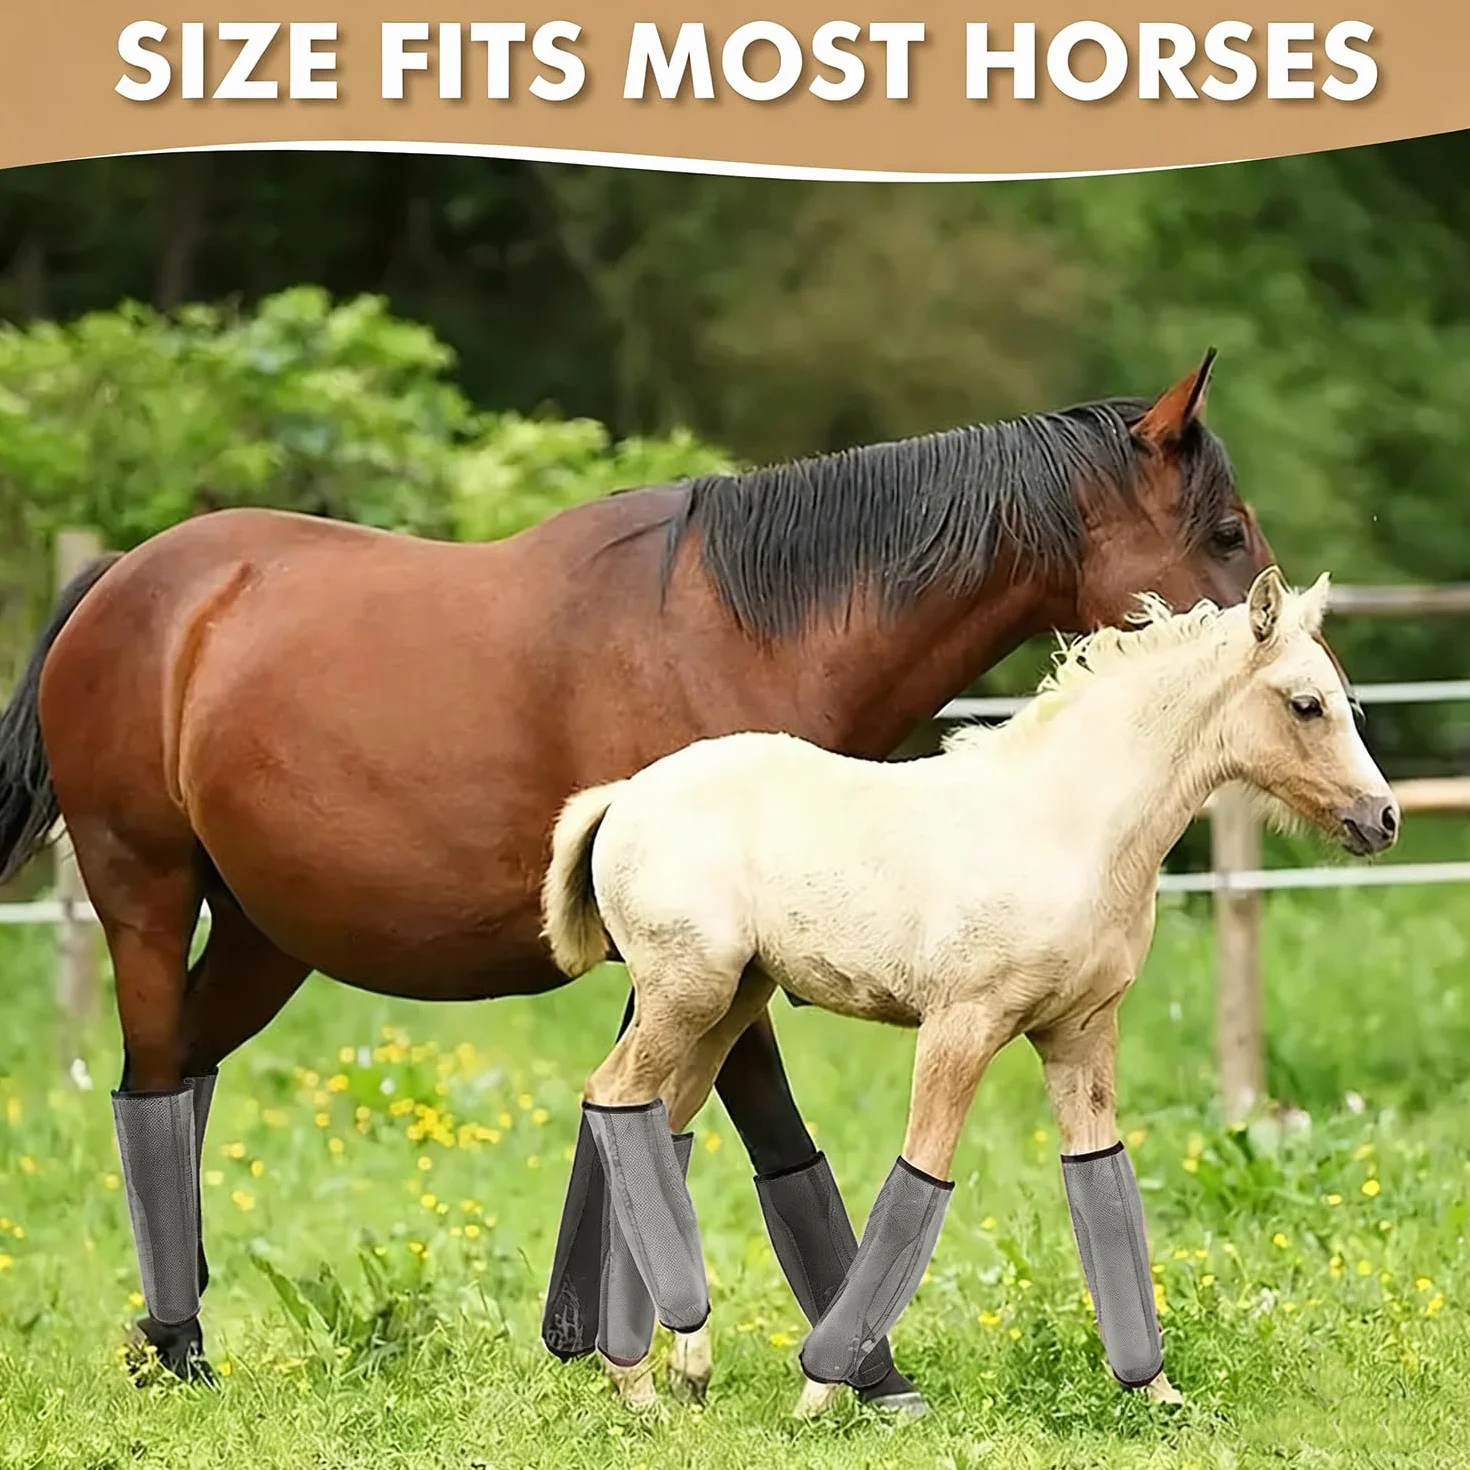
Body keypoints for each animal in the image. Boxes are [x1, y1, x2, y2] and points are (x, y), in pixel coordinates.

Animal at [0, 350, 1276, 1411]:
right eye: (1225, 531)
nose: (1291, 650)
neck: (746, 635)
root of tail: (125, 583)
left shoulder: (703, 966)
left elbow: (651, 1133)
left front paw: (602, 1345)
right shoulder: (722, 962)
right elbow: (766, 1138)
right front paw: (861, 1374)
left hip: (267, 939)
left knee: (180, 1072)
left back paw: (164, 1332)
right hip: (146, 897)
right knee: (152, 1087)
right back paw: (182, 1350)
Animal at [541, 567, 1398, 1419]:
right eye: (1306, 704)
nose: (1382, 818)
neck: (1068, 827)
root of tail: (623, 794)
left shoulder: (1082, 1033)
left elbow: (1102, 1180)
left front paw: (1156, 1391)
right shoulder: (962, 1024)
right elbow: (922, 1173)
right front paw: (824, 1386)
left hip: (730, 1005)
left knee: (659, 1118)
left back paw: (666, 1367)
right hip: (687, 993)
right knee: (614, 1095)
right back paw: (641, 1378)